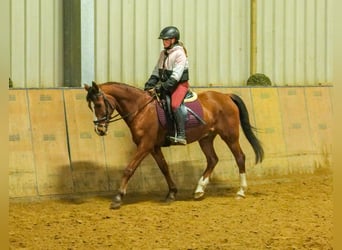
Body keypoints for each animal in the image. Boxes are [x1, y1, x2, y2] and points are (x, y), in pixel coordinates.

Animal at [84, 81, 264, 209]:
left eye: (98, 105)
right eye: (90, 107)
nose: (99, 130)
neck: (141, 109)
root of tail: (226, 96)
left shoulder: (145, 145)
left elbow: (129, 168)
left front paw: (118, 198)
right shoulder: (154, 147)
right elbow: (164, 168)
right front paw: (171, 193)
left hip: (230, 135)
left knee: (240, 157)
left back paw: (240, 191)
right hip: (206, 138)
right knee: (213, 159)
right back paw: (199, 190)